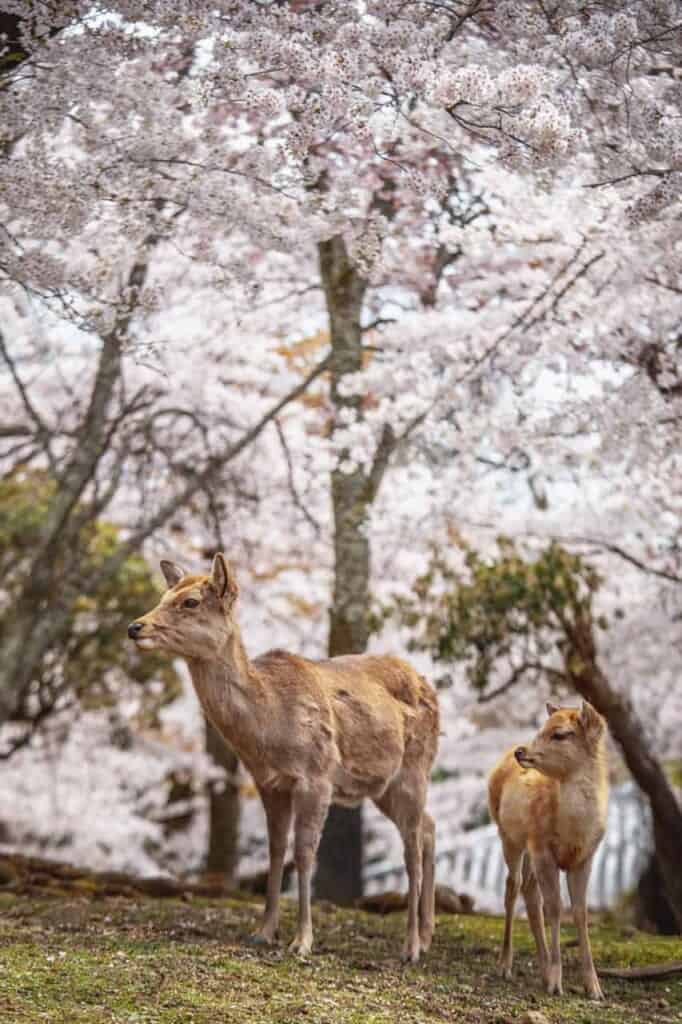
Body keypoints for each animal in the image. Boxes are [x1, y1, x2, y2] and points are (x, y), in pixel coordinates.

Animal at [128, 553, 439, 962]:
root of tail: (430, 688)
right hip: (383, 786)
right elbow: (276, 851)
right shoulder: (268, 782)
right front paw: (264, 931)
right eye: (165, 595)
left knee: (412, 847)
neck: (269, 725)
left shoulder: (316, 776)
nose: (135, 626)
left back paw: (412, 947)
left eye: (190, 602)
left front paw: (302, 941)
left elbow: (305, 854)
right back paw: (427, 934)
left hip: (414, 770)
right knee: (429, 828)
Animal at [488, 701, 609, 1001]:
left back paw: (541, 969)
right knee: (513, 886)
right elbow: (554, 907)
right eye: (542, 728)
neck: (574, 830)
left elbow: (580, 912)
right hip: (510, 836)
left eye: (560, 734)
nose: (522, 751)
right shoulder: (543, 849)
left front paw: (594, 988)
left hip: (530, 849)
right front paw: (556, 982)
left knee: (530, 890)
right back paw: (505, 965)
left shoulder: (585, 858)